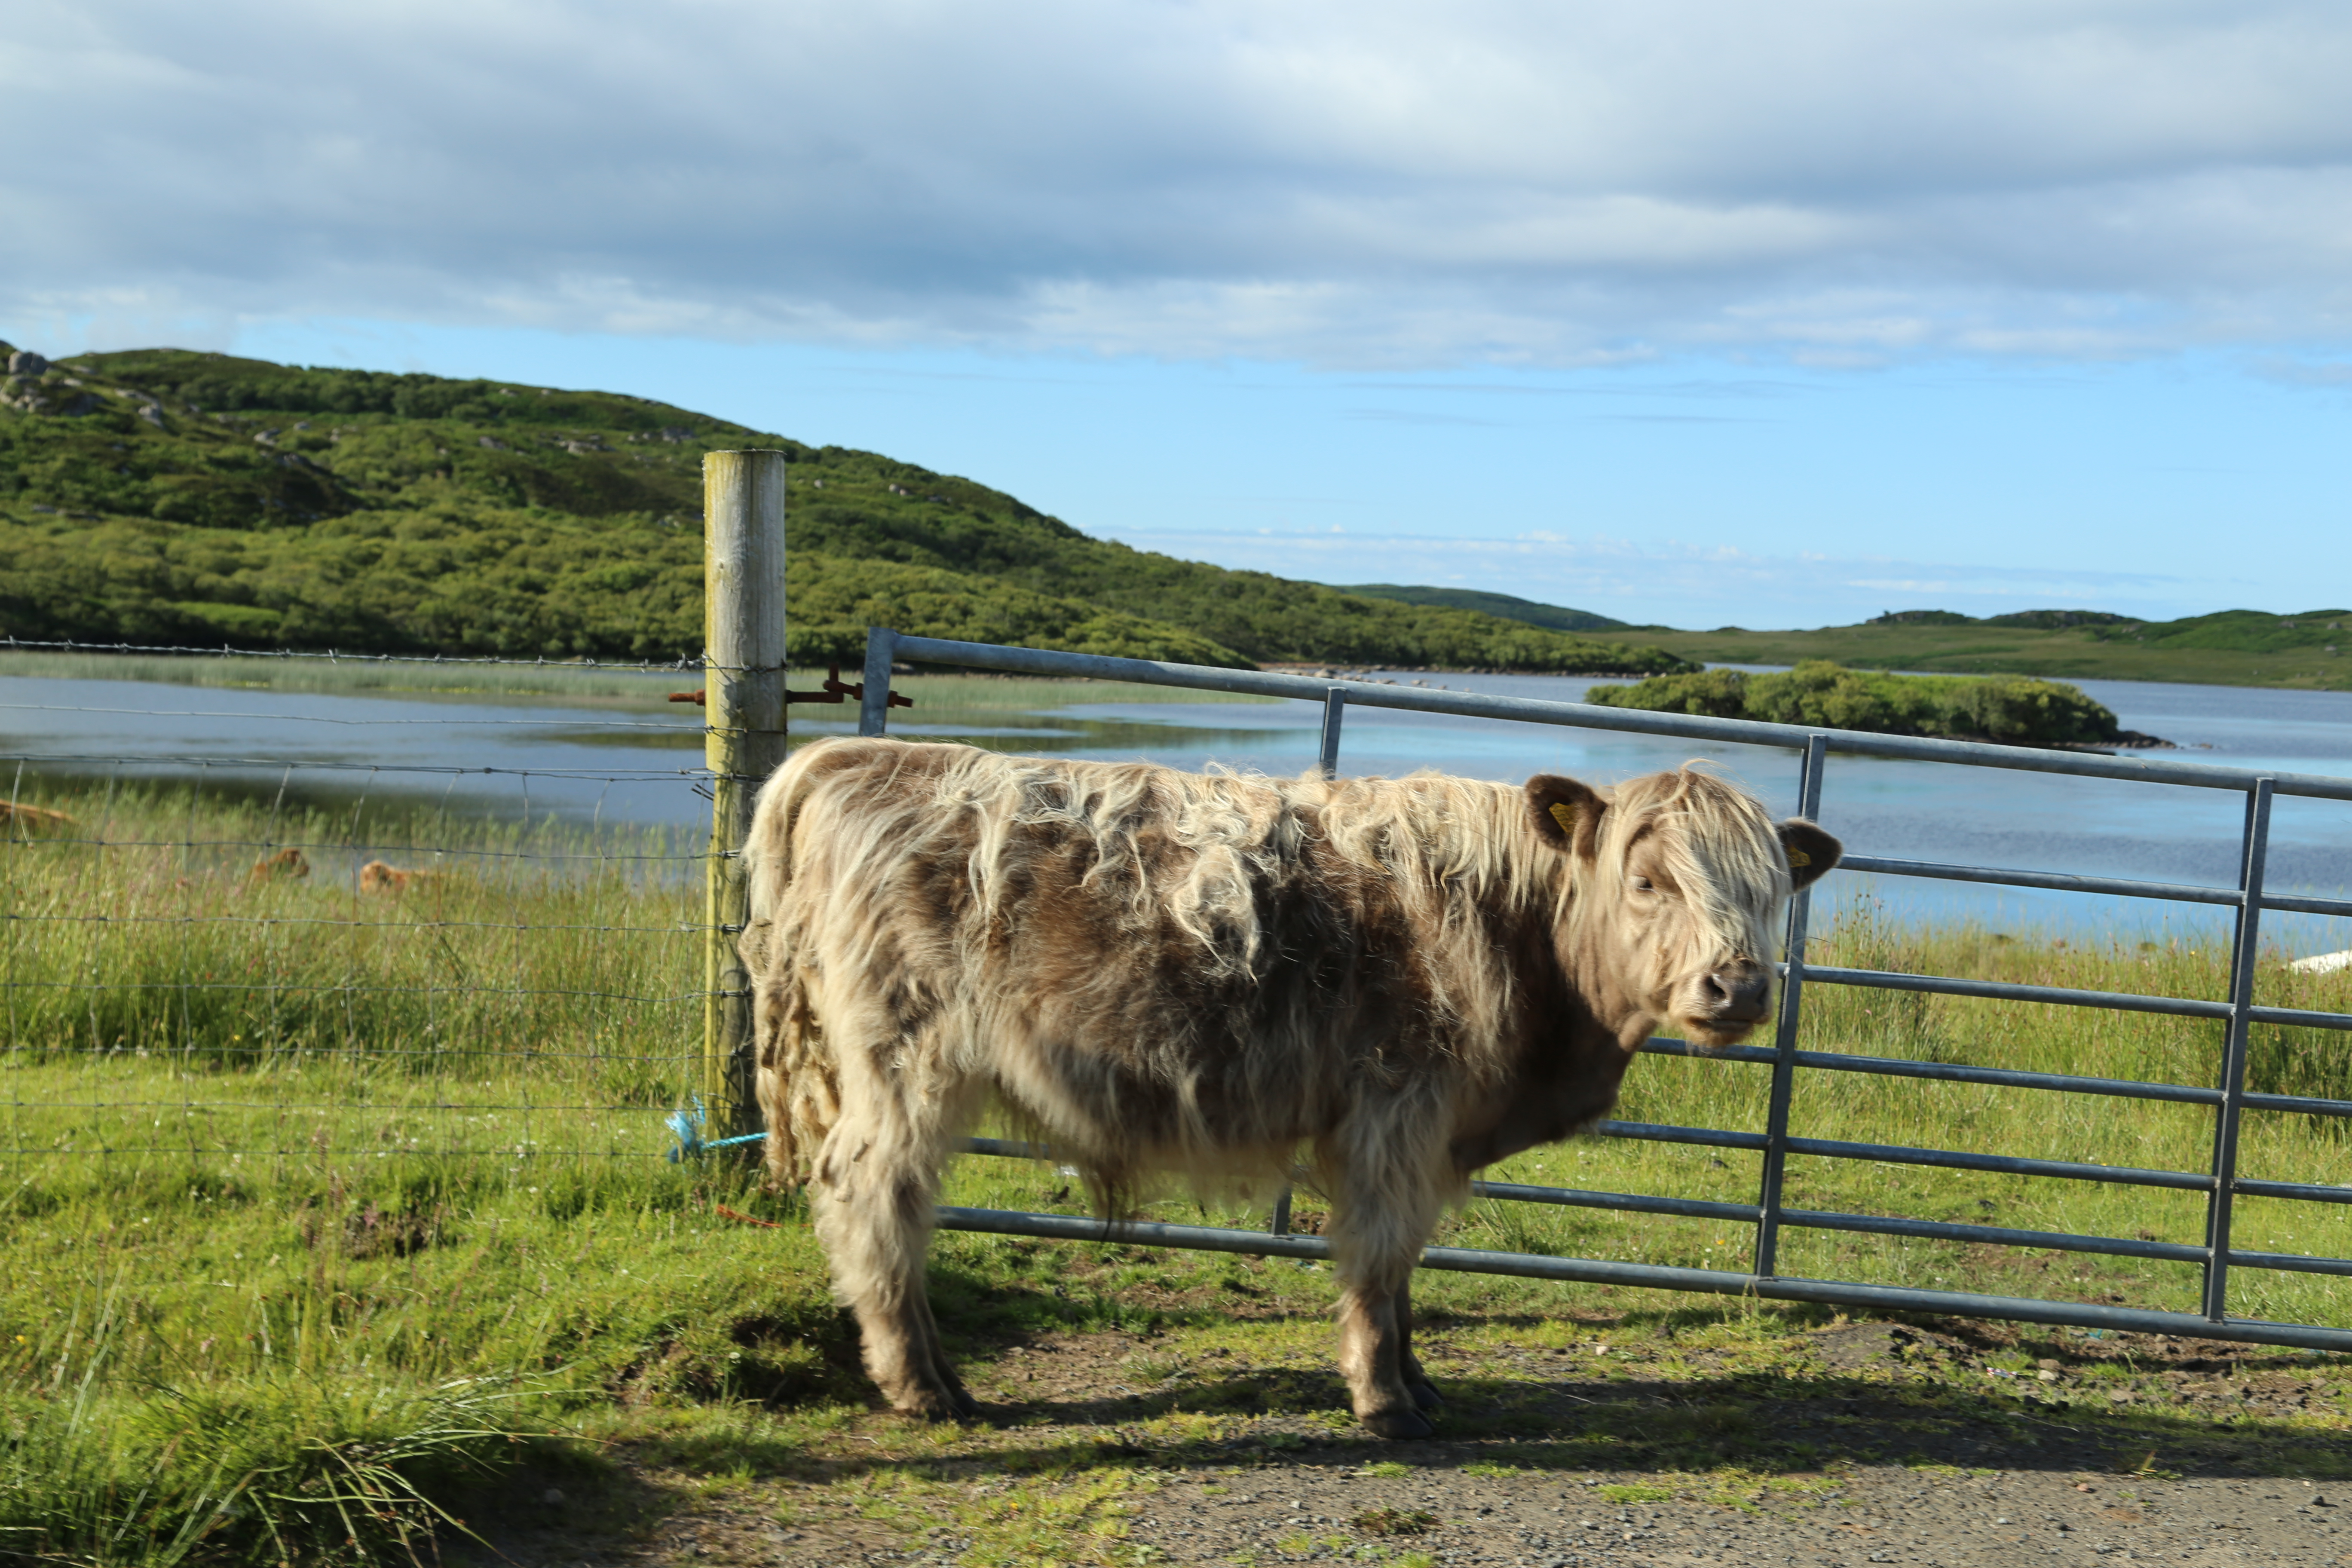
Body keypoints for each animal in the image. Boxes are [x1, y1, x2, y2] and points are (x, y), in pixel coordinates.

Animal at [734, 743, 1834, 1439]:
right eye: (1648, 881)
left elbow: (1405, 1266)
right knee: (876, 1196)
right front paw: (1386, 1403)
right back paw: (923, 1386)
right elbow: (1378, 1261)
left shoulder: (1421, 1134)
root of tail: (851, 757)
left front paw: (1419, 1385)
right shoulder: (1398, 1113)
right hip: (905, 1062)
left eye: (1770, 892)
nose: (1738, 986)